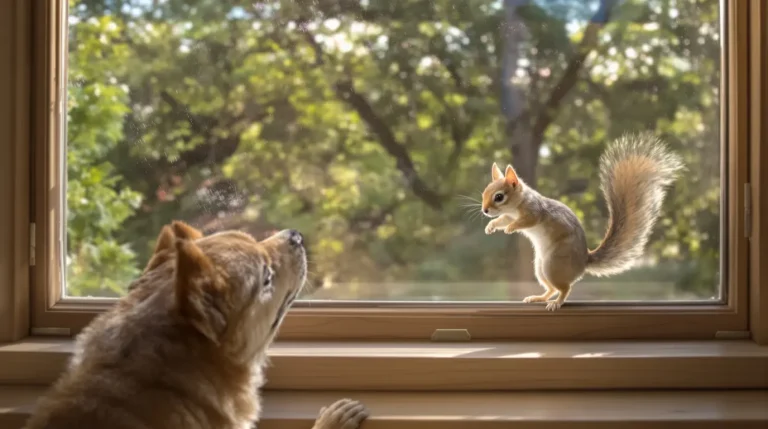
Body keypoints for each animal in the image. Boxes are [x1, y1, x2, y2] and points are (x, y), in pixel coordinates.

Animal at [481, 132, 684, 311]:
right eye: (484, 192)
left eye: (499, 197)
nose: (485, 210)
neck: (515, 206)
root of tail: (584, 260)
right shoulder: (510, 214)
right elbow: (502, 219)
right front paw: (491, 226)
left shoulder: (534, 211)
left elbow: (526, 221)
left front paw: (510, 228)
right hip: (540, 268)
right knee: (552, 288)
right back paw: (539, 298)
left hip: (553, 264)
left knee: (565, 288)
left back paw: (556, 303)